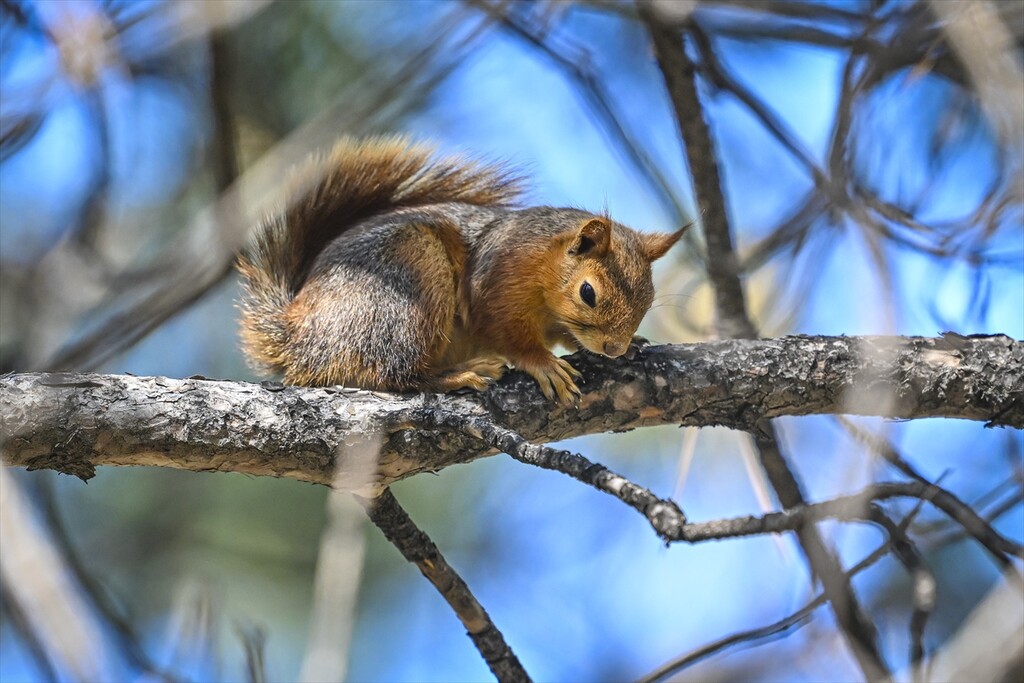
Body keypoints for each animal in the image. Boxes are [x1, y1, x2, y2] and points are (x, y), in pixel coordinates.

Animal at [237, 136, 687, 404]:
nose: (614, 348)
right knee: (392, 374)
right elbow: (506, 332)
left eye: (648, 300)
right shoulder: (497, 282)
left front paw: (631, 342)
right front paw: (544, 363)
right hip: (408, 278)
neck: (543, 266)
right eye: (588, 293)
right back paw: (459, 375)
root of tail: (296, 333)